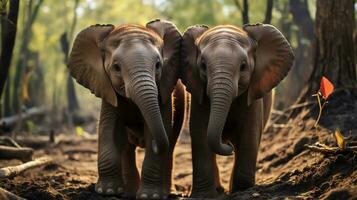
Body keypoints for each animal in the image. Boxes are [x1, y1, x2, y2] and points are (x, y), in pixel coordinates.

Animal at [67, 18, 184, 198]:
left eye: (158, 65)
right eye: (116, 67)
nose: (154, 144)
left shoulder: (164, 92)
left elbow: (161, 129)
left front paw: (150, 196)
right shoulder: (107, 90)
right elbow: (108, 130)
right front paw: (107, 191)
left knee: (170, 145)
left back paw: (166, 192)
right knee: (126, 148)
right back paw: (128, 193)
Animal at [182, 23, 294, 197]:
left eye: (243, 66)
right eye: (203, 66)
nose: (228, 145)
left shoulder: (252, 97)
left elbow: (249, 135)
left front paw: (242, 191)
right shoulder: (198, 95)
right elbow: (200, 133)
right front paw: (203, 196)